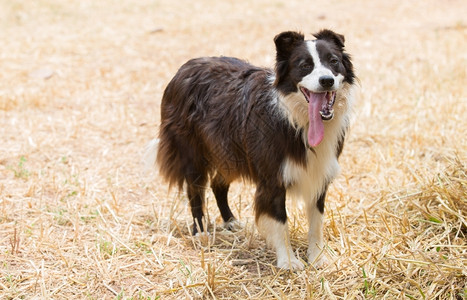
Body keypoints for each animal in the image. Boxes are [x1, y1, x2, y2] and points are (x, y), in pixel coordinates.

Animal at [148, 29, 356, 270]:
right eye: (304, 65)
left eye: (334, 61)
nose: (327, 81)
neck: (297, 119)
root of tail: (184, 68)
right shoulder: (273, 179)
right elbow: (280, 220)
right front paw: (288, 261)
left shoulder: (319, 173)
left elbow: (316, 221)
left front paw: (317, 257)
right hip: (192, 153)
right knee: (195, 191)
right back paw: (200, 232)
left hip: (228, 152)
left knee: (218, 184)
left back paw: (230, 221)